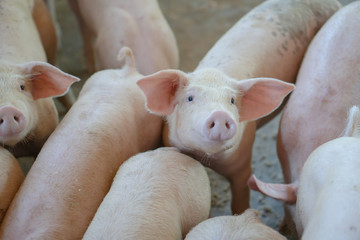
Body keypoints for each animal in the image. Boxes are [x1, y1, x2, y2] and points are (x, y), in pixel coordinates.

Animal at [136, 0, 342, 214]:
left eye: (232, 101)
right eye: (190, 98)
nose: (220, 114)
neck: (208, 158)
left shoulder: (243, 161)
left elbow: (240, 198)